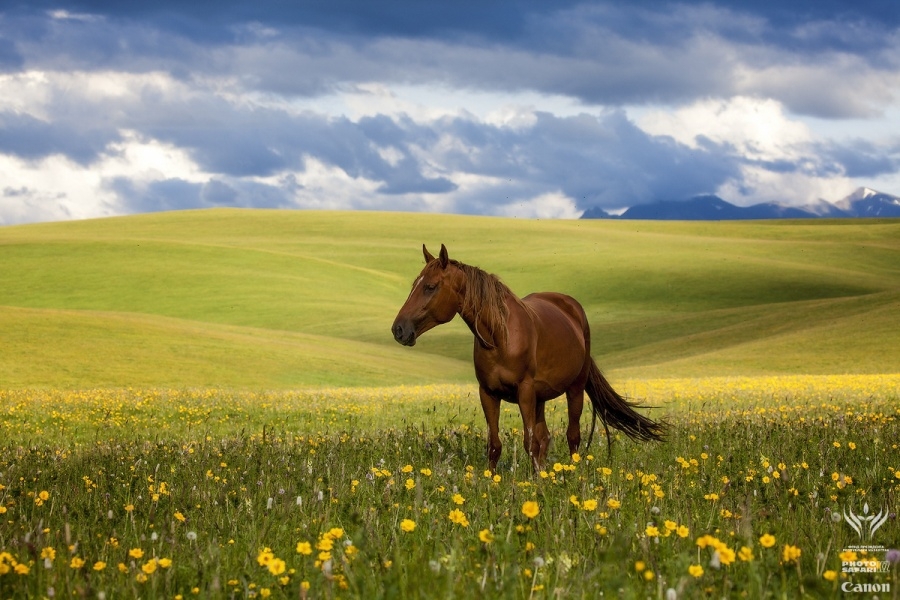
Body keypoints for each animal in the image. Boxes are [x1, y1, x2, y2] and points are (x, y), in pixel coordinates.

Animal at [390, 245, 664, 474]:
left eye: (430, 286)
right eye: (415, 284)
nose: (399, 329)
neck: (500, 337)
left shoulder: (525, 391)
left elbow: (529, 442)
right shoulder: (488, 393)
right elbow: (495, 444)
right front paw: (494, 480)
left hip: (573, 389)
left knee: (572, 436)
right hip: (540, 398)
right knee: (545, 438)